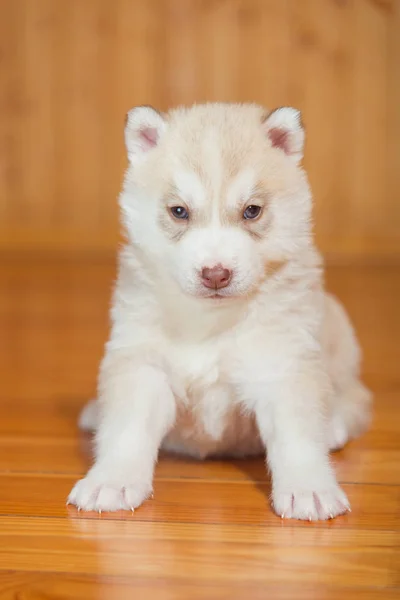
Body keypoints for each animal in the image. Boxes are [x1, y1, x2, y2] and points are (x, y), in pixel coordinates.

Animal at [68, 103, 372, 520]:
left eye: (252, 211)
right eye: (179, 211)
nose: (215, 273)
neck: (209, 321)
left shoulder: (283, 364)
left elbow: (297, 436)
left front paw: (309, 489)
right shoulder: (143, 363)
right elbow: (128, 428)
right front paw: (111, 481)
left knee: (354, 400)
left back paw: (335, 425)